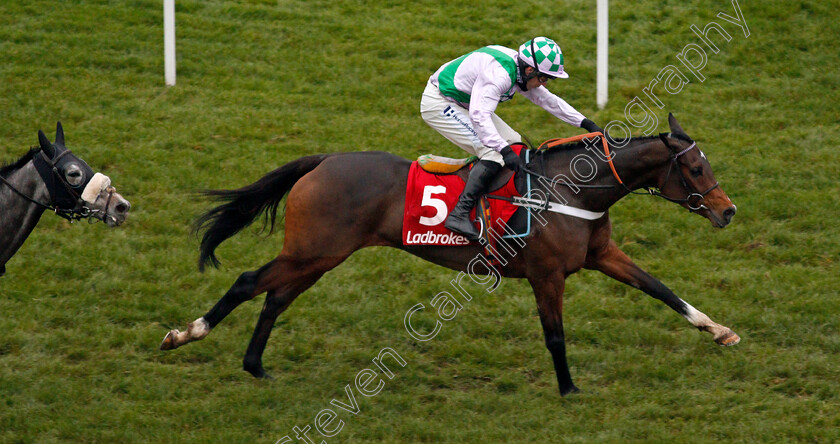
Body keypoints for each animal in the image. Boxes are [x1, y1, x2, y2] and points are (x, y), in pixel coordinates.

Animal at [164, 114, 740, 396]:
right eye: (694, 170)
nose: (728, 211)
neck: (572, 189)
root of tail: (324, 161)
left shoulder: (602, 255)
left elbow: (662, 290)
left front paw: (720, 331)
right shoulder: (547, 275)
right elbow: (555, 335)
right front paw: (570, 388)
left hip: (320, 256)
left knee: (275, 298)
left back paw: (256, 367)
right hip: (314, 250)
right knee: (248, 281)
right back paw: (185, 334)